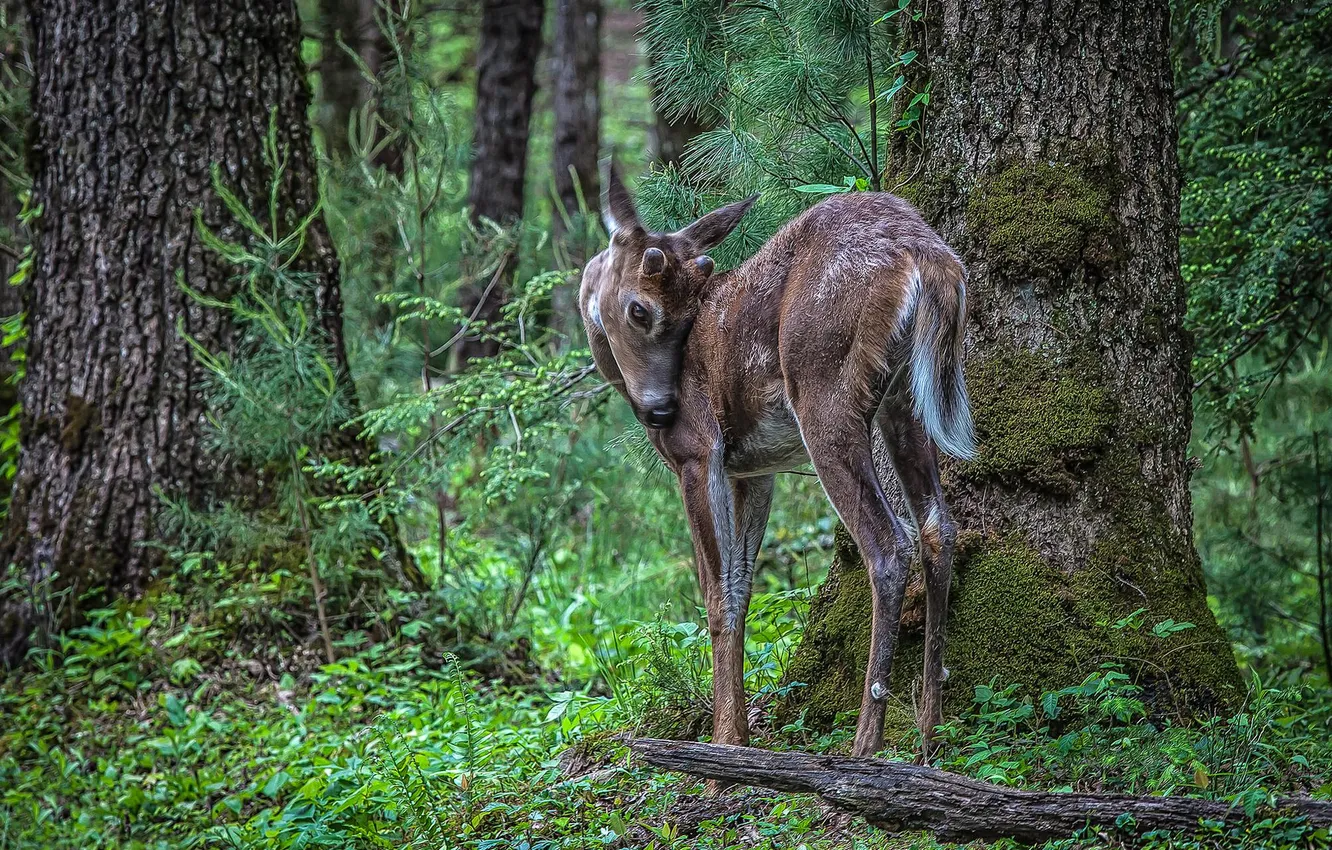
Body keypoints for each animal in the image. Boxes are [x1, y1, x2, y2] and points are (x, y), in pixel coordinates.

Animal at [579, 163, 975, 763]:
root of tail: (926, 254)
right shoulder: (754, 469)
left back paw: (864, 745)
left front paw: (721, 750)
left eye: (640, 309)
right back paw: (929, 733)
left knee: (888, 545)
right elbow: (742, 587)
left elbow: (716, 595)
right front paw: (739, 738)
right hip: (904, 399)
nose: (662, 410)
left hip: (824, 390)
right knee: (937, 527)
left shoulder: (700, 452)